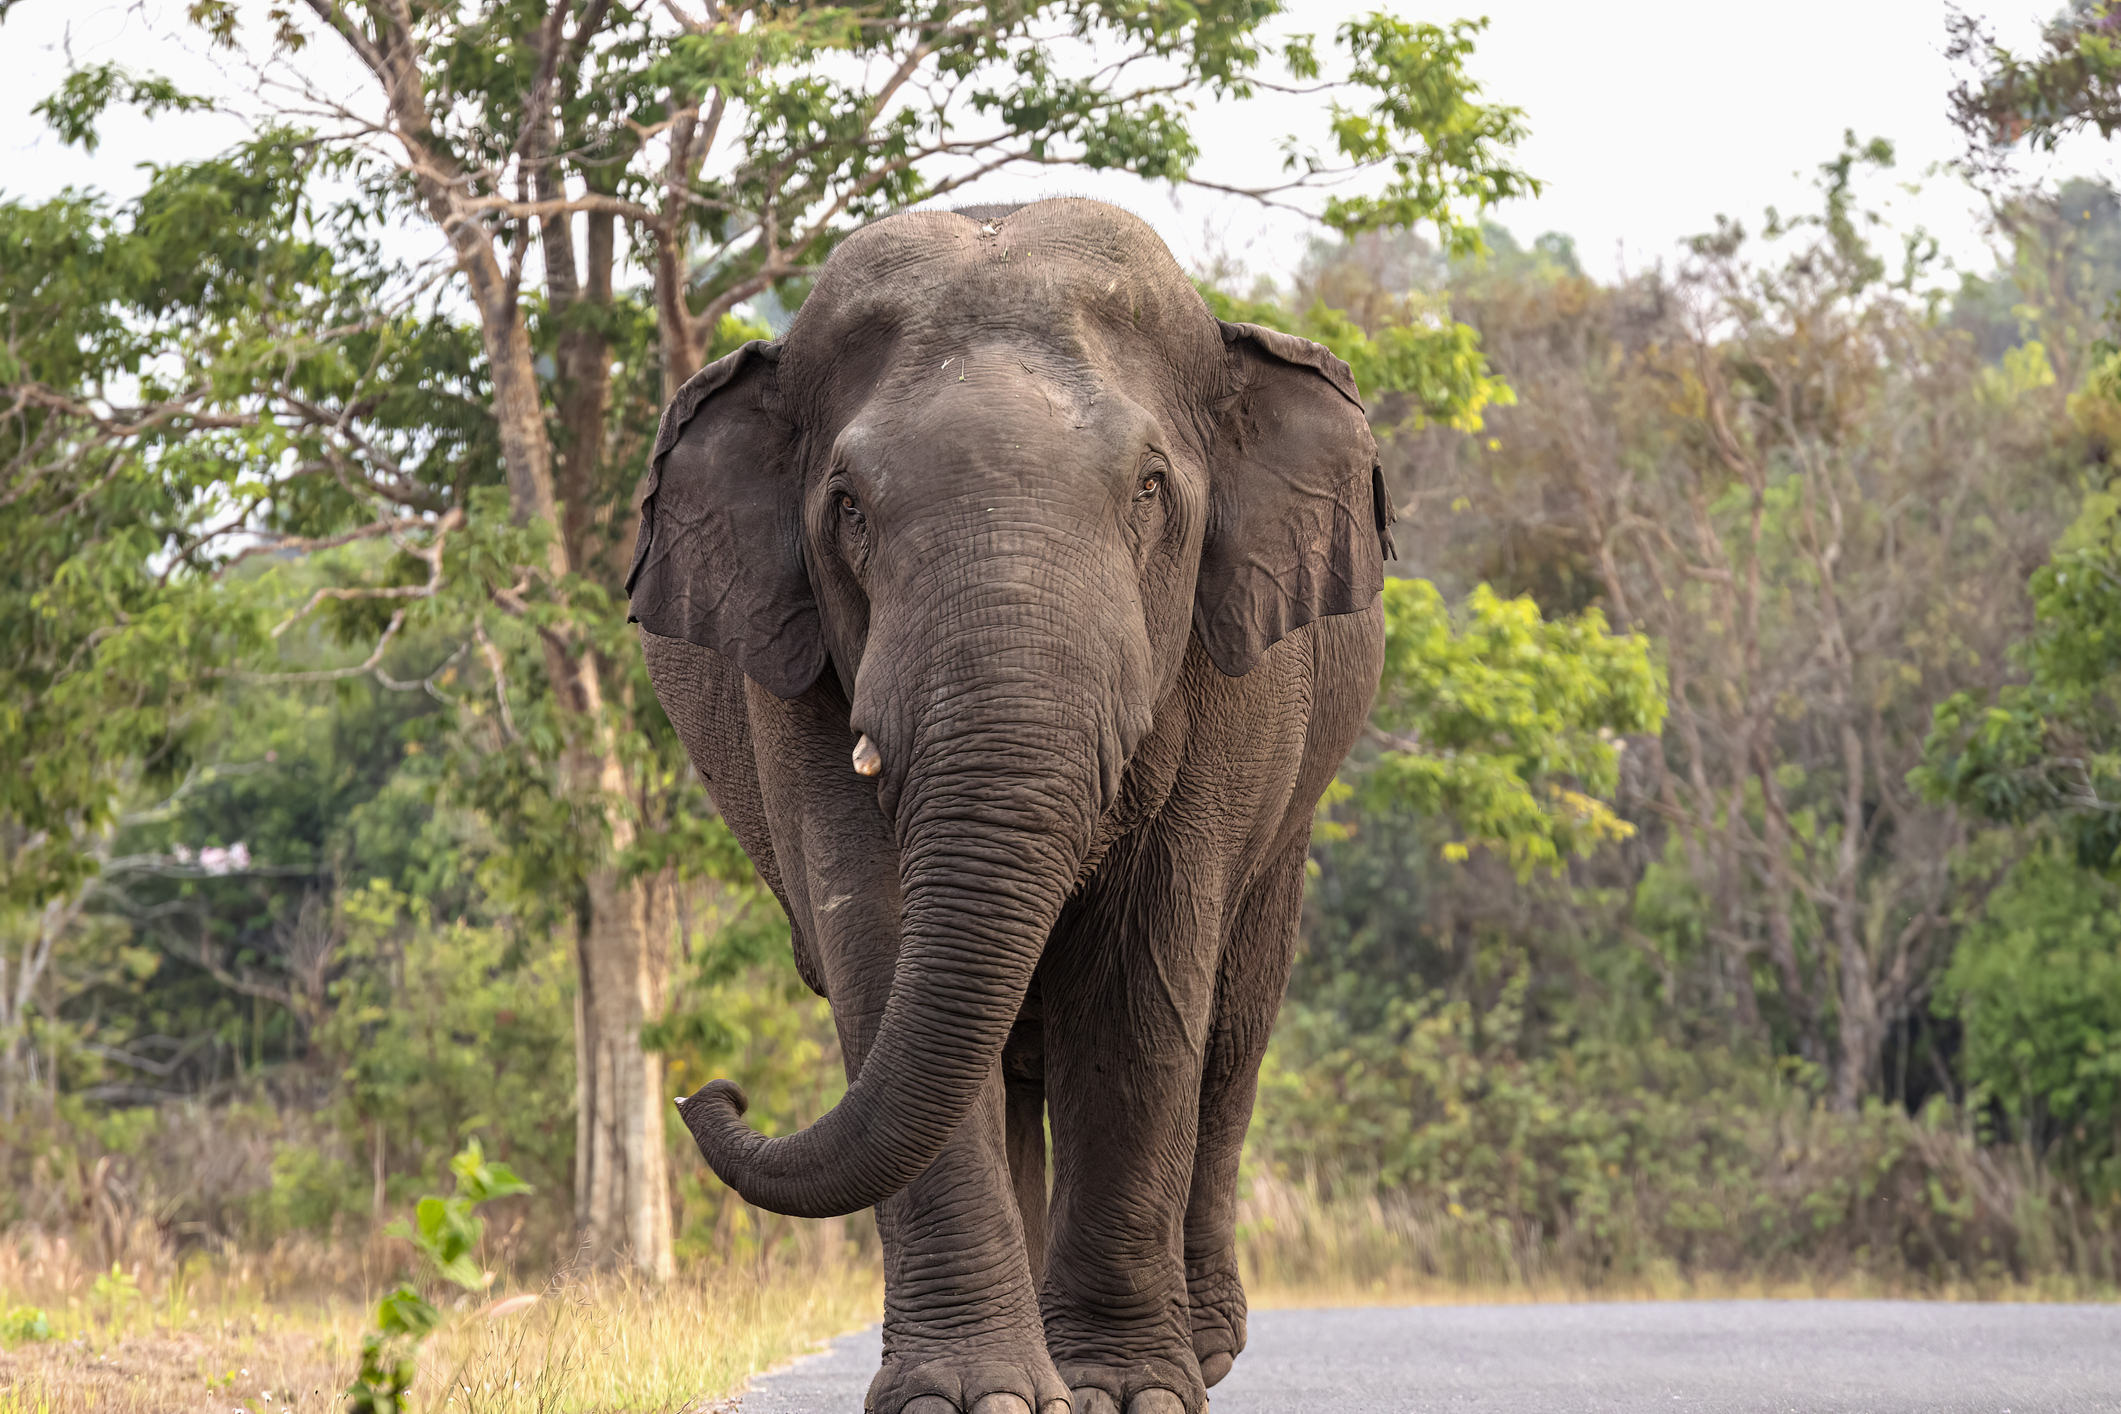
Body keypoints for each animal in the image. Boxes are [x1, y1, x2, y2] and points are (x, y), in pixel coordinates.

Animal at [628, 197, 1390, 1414]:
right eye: (847, 507)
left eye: (1150, 491)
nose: (711, 1093)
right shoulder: (789, 675)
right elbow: (880, 946)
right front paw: (971, 1397)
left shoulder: (1233, 677)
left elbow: (1142, 986)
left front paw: (1127, 1393)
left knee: (1232, 1028)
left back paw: (1204, 1349)